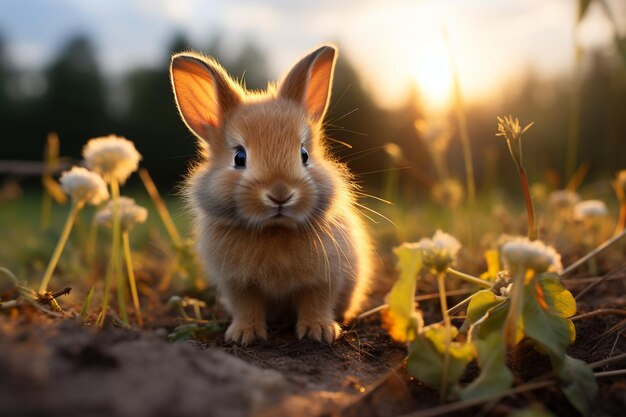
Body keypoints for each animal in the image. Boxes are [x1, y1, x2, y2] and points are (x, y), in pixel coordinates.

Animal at [169, 44, 370, 344]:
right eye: (239, 157)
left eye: (304, 155)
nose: (280, 193)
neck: (274, 230)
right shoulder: (237, 284)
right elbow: (247, 306)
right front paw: (244, 334)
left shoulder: (324, 278)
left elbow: (316, 302)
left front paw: (319, 331)